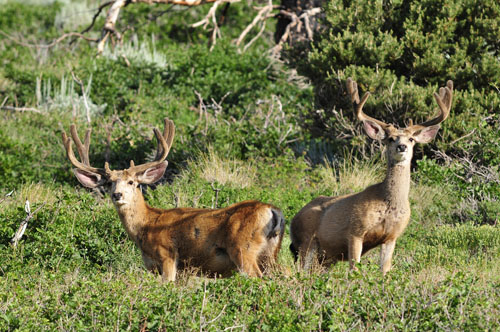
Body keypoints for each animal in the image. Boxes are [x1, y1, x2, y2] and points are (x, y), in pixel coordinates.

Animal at [61, 118, 286, 282]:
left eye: (133, 182)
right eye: (108, 183)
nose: (117, 195)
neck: (146, 225)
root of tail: (272, 210)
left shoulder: (167, 254)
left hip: (243, 248)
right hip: (271, 253)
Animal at [290, 78, 454, 274]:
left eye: (411, 139)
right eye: (390, 139)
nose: (402, 147)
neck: (388, 204)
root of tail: (294, 219)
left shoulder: (391, 237)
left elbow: (385, 270)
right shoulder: (355, 230)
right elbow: (354, 269)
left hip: (325, 258)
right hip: (306, 241)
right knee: (301, 271)